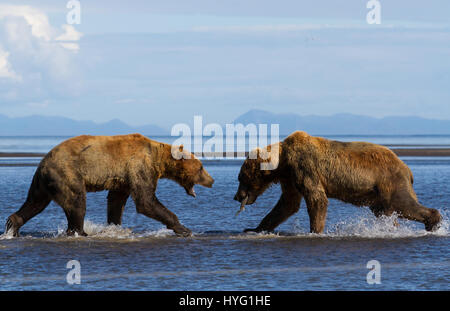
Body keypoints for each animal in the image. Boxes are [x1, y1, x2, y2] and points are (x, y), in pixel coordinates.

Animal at [3, 133, 214, 238]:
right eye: (201, 167)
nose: (211, 181)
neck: (158, 159)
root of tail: (43, 163)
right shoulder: (139, 166)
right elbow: (146, 201)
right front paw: (183, 228)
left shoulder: (123, 178)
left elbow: (116, 201)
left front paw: (114, 226)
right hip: (67, 174)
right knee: (77, 202)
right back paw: (80, 232)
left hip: (42, 182)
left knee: (34, 203)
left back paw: (13, 225)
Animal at [234, 131, 442, 234]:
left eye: (241, 178)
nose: (237, 197)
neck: (282, 162)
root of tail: (406, 167)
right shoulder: (290, 178)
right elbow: (287, 204)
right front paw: (254, 228)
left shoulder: (304, 167)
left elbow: (317, 199)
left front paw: (315, 231)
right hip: (377, 195)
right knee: (385, 212)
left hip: (391, 182)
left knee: (404, 204)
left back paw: (434, 222)